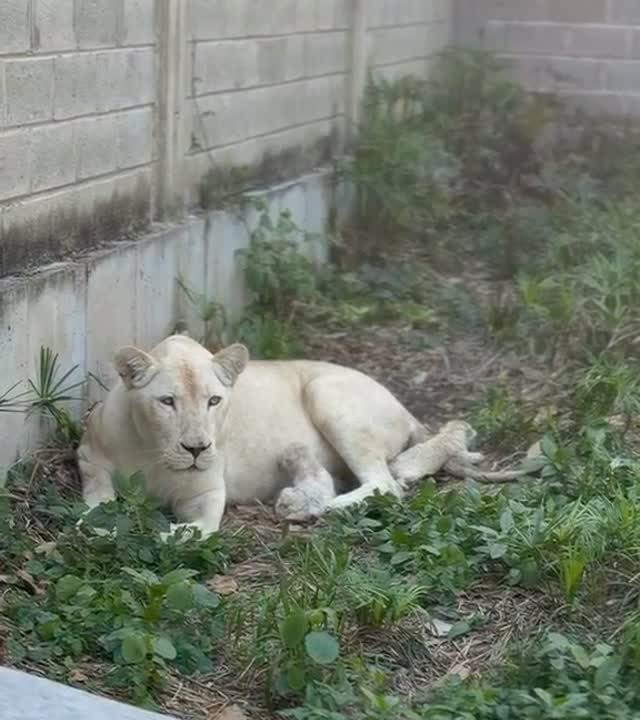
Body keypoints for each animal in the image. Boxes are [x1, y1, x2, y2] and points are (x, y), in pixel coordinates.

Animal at [77, 335, 432, 537]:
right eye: (167, 401)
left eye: (213, 400)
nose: (197, 449)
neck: (154, 453)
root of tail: (404, 409)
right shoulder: (88, 453)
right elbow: (99, 493)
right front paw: (97, 522)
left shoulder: (205, 495)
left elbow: (196, 531)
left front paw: (162, 533)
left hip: (326, 392)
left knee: (386, 485)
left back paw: (328, 505)